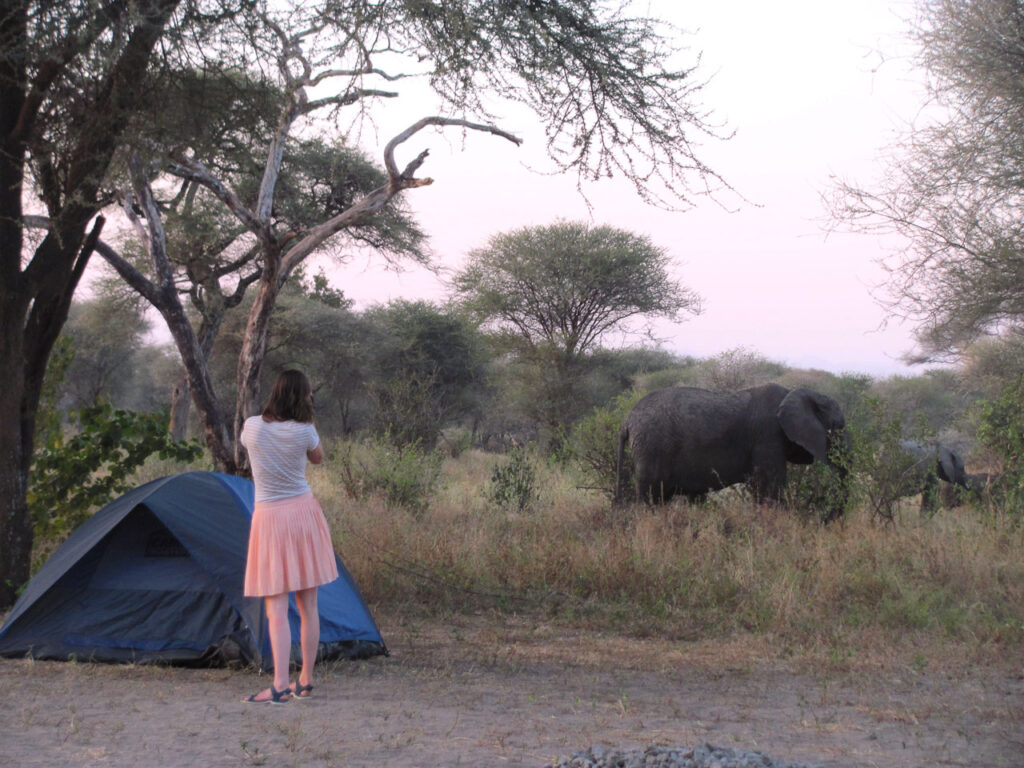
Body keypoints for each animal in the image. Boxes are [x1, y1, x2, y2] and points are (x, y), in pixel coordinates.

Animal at [614, 382, 847, 520]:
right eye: (837, 428)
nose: (827, 518)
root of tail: (626, 421)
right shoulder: (768, 435)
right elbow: (771, 485)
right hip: (651, 447)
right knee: (651, 496)